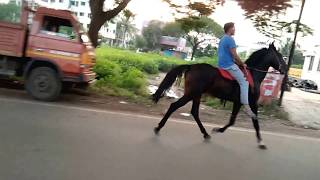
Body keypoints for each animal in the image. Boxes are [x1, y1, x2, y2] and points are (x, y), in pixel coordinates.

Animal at [151, 43, 286, 149]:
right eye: (280, 56)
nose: (285, 70)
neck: (252, 75)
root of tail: (191, 66)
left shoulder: (239, 102)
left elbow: (233, 121)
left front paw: (218, 129)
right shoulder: (251, 103)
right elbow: (254, 121)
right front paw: (261, 142)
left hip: (196, 95)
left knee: (194, 112)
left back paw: (205, 134)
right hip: (191, 94)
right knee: (174, 106)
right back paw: (158, 127)